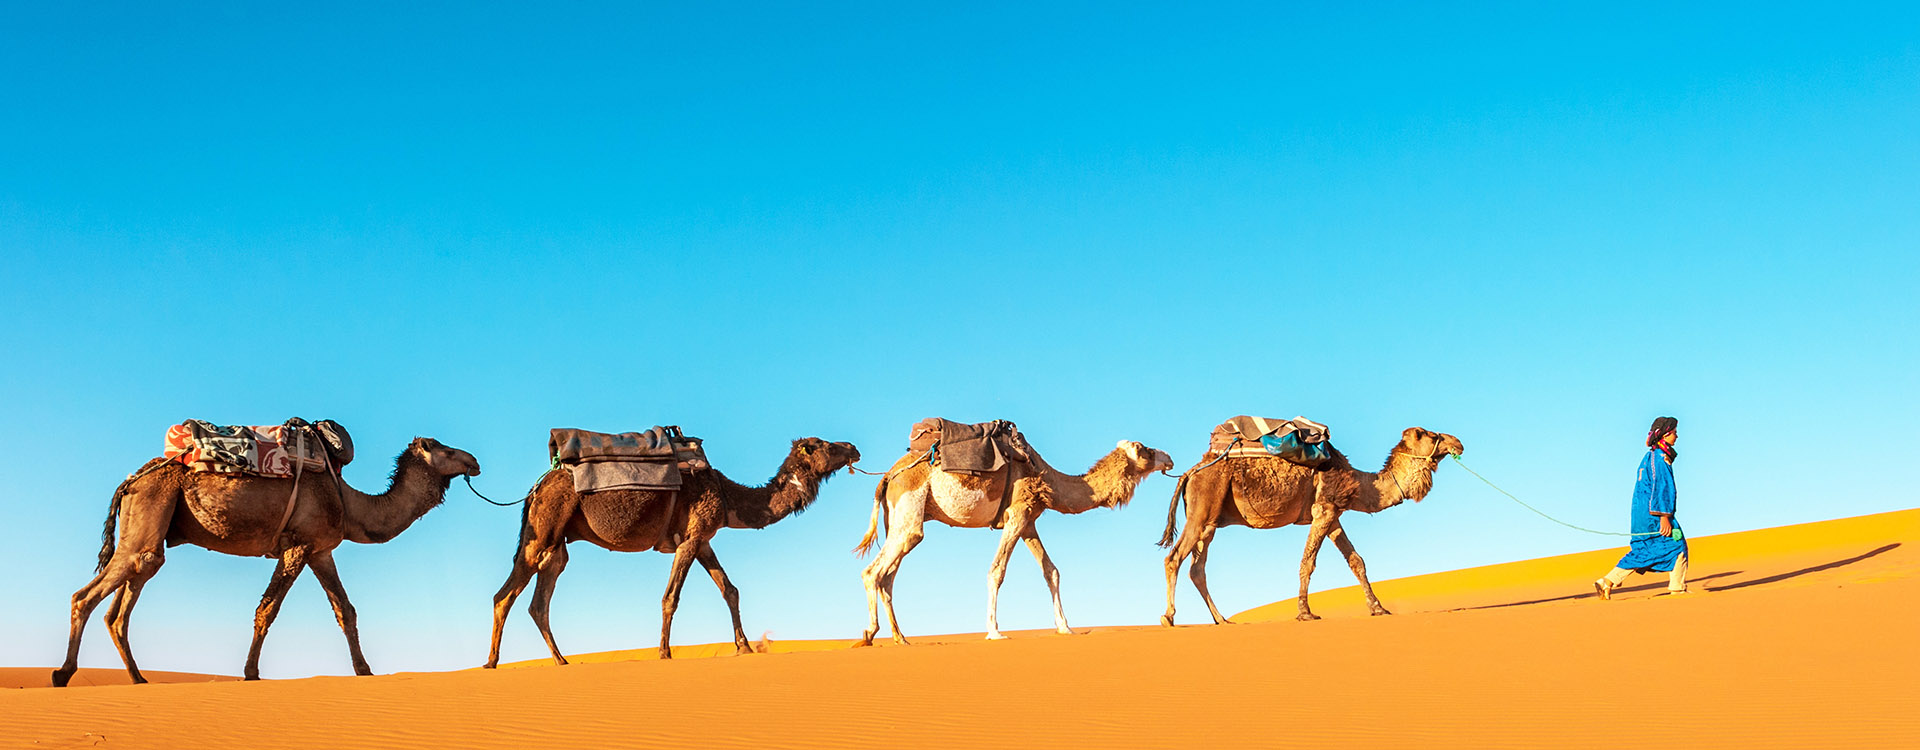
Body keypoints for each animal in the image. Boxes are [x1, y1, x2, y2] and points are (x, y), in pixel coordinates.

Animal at [53, 437, 482, 687]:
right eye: (443, 448)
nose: (474, 461)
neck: (350, 504)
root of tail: (130, 480)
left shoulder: (321, 550)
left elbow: (346, 610)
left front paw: (364, 671)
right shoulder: (297, 545)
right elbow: (268, 608)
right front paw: (251, 673)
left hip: (150, 528)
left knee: (121, 604)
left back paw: (138, 678)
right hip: (149, 512)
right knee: (85, 596)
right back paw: (63, 674)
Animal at [484, 437, 859, 665]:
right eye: (824, 445)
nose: (853, 447)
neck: (726, 496)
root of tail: (537, 487)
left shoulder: (704, 539)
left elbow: (730, 590)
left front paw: (745, 646)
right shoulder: (690, 538)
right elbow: (671, 596)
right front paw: (664, 653)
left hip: (557, 542)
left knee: (539, 599)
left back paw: (560, 660)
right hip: (544, 528)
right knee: (505, 594)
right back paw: (492, 662)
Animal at [854, 438, 1174, 645]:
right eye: (1145, 449)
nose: (1169, 457)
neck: (1046, 478)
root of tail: (887, 477)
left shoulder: (1029, 520)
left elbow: (1051, 571)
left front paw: (1065, 628)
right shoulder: (1017, 514)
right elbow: (997, 571)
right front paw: (994, 632)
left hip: (898, 520)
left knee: (888, 577)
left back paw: (900, 638)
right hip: (909, 514)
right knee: (874, 571)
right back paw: (869, 634)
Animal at [1158, 427, 1463, 625]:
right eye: (1432, 435)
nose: (1458, 442)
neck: (1359, 484)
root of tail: (1190, 472)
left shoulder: (1335, 515)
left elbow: (1356, 561)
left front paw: (1378, 608)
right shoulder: (1323, 510)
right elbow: (1308, 562)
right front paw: (1305, 613)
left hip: (1210, 520)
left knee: (1197, 568)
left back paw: (1222, 619)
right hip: (1202, 508)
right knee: (1174, 558)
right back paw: (1168, 617)